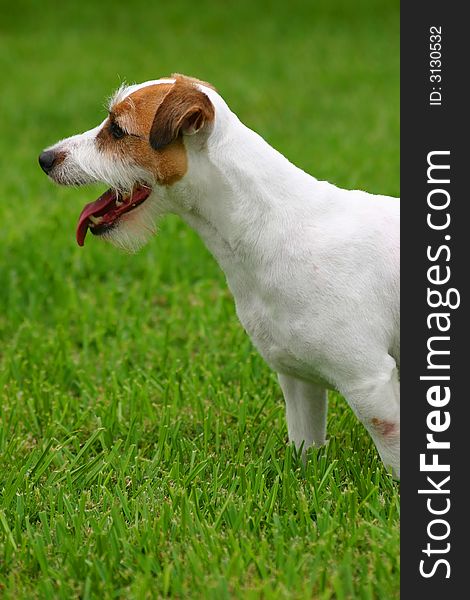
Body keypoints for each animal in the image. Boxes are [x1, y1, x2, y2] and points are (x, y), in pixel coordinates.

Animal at [40, 74, 400, 478]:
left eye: (117, 130)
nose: (45, 159)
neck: (274, 226)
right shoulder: (297, 379)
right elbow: (304, 448)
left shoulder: (369, 383)